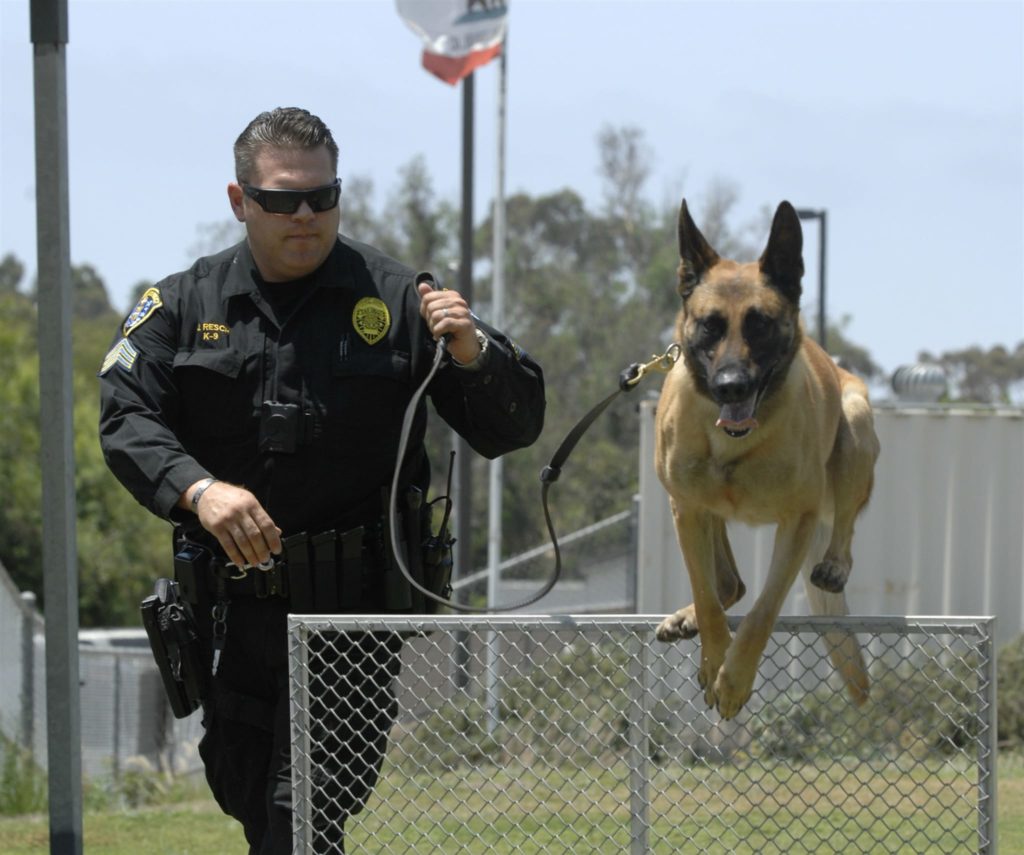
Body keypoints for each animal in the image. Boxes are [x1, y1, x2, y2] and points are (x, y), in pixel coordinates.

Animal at [655, 197, 880, 720]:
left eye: (760, 324)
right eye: (710, 325)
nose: (731, 386)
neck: (735, 442)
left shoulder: (796, 522)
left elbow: (762, 611)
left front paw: (734, 680)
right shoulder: (687, 510)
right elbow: (710, 598)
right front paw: (713, 656)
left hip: (856, 428)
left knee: (843, 530)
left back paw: (834, 565)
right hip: (697, 507)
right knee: (727, 583)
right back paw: (687, 618)